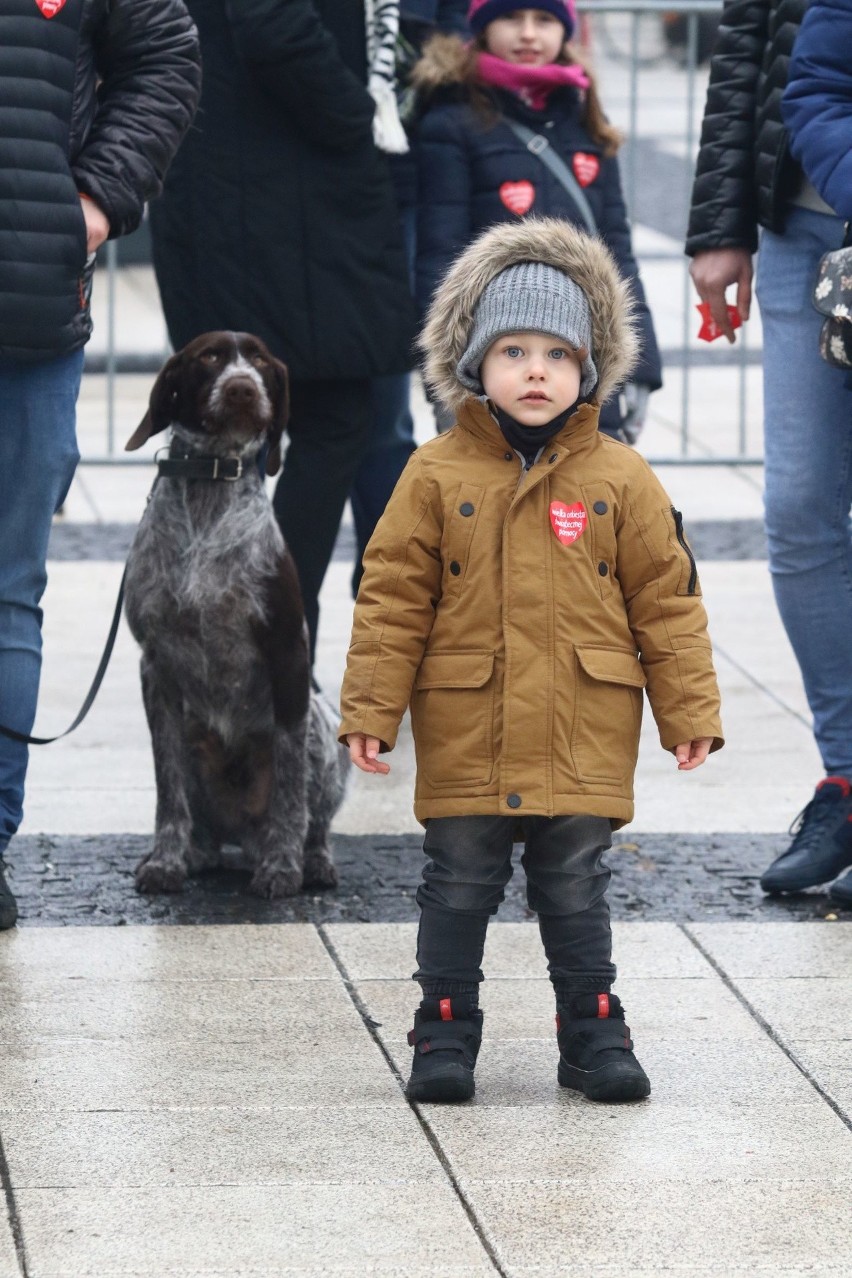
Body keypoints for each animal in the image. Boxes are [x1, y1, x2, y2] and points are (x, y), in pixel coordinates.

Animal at [122, 334, 347, 904]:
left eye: (261, 361)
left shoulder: (289, 654)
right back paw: (198, 852)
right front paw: (166, 861)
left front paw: (283, 867)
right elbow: (168, 790)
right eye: (209, 358)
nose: (243, 388)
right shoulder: (154, 666)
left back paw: (311, 860)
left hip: (323, 731)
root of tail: (241, 835)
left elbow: (289, 787)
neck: (211, 487)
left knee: (315, 819)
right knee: (200, 820)